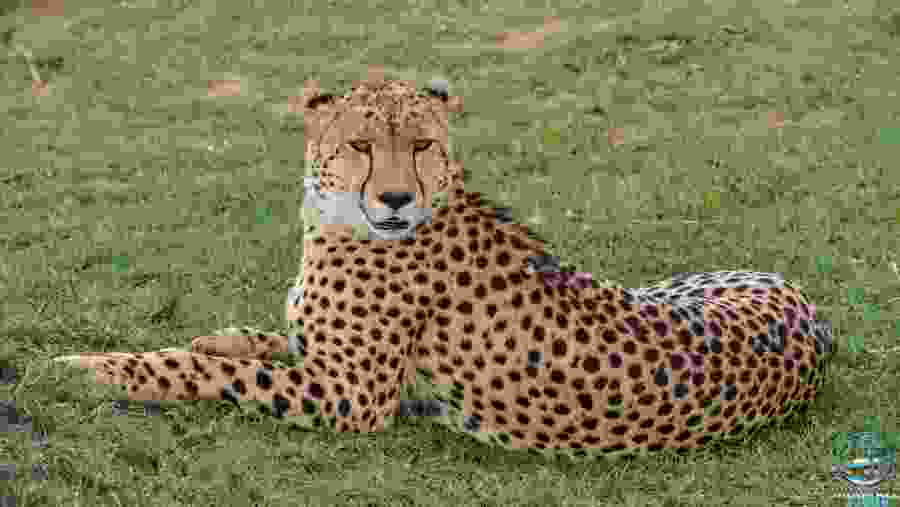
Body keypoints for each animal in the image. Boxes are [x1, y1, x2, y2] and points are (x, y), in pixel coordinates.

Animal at [54, 76, 834, 460]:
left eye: (423, 144)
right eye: (362, 144)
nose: (397, 197)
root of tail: (802, 299)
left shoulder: (350, 399)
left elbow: (203, 371)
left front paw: (92, 368)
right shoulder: (329, 363)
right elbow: (264, 340)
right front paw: (221, 336)